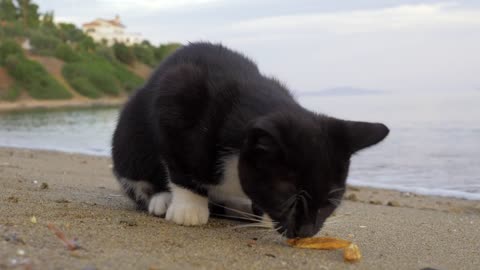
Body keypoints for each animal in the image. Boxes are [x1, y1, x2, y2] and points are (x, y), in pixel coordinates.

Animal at [110, 42, 388, 238]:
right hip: (127, 142)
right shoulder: (176, 97)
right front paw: (189, 207)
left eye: (331, 202)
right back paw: (163, 199)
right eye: (289, 198)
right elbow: (180, 165)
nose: (306, 232)